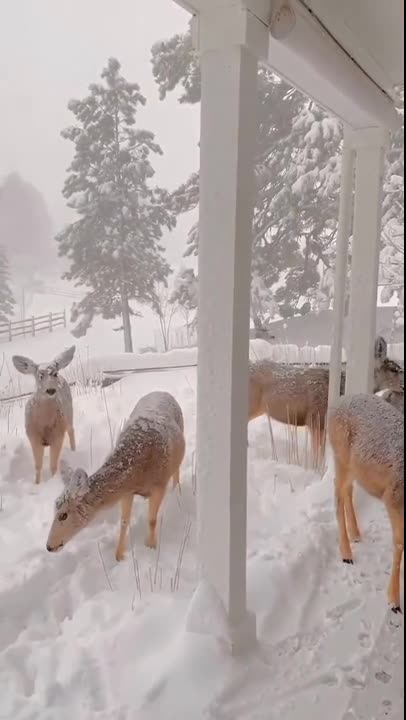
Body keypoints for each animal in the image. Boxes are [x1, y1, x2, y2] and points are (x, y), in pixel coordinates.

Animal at [12, 346, 76, 484]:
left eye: (54, 374)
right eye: (40, 376)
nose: (51, 390)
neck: (44, 423)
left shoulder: (58, 435)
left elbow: (53, 466)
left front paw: (53, 481)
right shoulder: (33, 436)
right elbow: (38, 466)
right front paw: (37, 483)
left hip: (69, 413)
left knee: (71, 430)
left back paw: (74, 451)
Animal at [46, 391, 185, 561]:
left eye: (64, 515)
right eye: (54, 508)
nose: (48, 547)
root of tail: (162, 392)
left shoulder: (159, 484)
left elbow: (152, 520)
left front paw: (151, 547)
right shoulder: (127, 492)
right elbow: (124, 522)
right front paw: (119, 555)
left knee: (177, 470)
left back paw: (177, 490)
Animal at [328, 393, 404, 613]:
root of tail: (339, 401)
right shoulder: (393, 497)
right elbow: (399, 543)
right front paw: (394, 601)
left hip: (354, 467)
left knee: (347, 491)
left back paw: (356, 534)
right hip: (340, 455)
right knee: (338, 492)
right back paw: (346, 553)